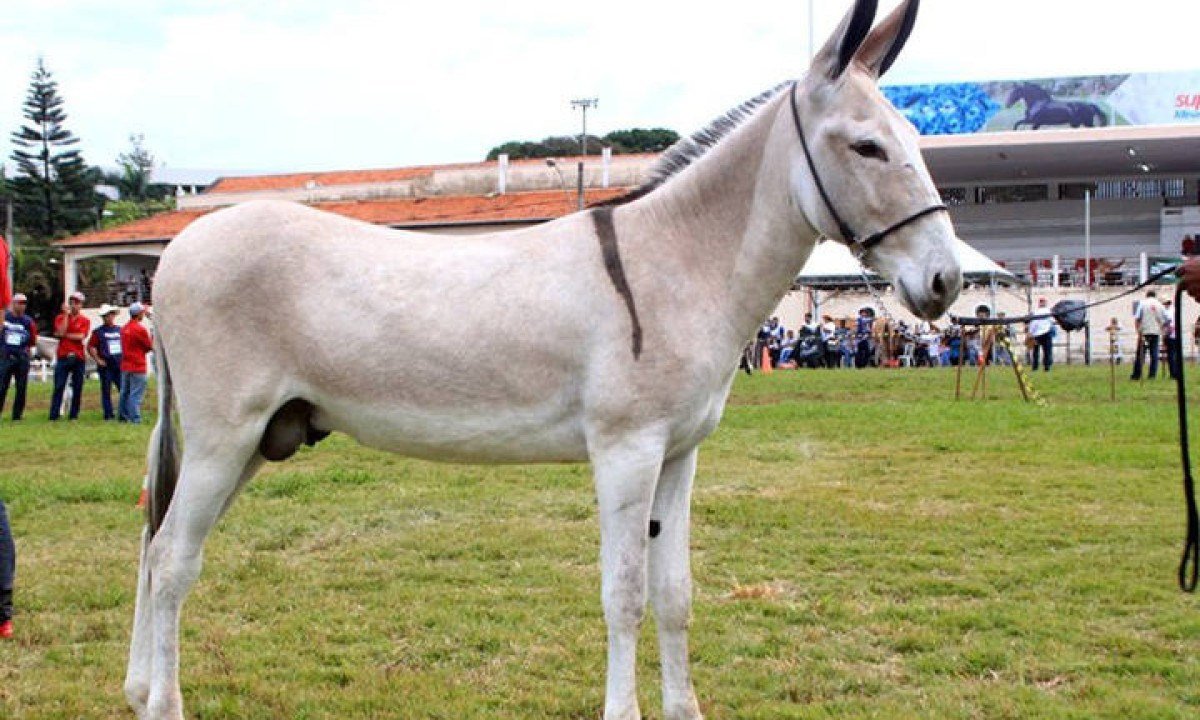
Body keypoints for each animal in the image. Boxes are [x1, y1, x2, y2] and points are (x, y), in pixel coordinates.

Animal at [125, 1, 963, 718]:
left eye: (914, 142)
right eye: (867, 146)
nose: (947, 282)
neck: (678, 260)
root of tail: (173, 255)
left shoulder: (680, 454)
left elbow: (676, 594)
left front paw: (684, 708)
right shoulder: (626, 450)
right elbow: (624, 594)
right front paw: (624, 711)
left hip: (256, 441)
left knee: (155, 542)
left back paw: (136, 691)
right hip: (224, 438)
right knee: (172, 558)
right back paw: (164, 704)